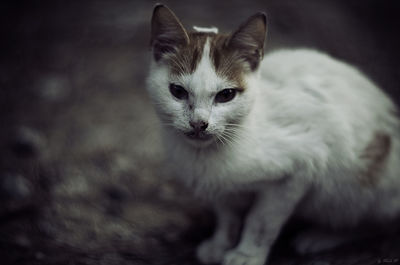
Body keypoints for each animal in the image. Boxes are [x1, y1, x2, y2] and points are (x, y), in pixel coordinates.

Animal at [146, 4, 400, 264]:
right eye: (177, 91)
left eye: (226, 95)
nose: (198, 124)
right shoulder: (222, 188)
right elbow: (227, 216)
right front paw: (220, 244)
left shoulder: (300, 167)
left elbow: (261, 221)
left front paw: (246, 255)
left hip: (365, 186)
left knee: (377, 224)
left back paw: (322, 236)